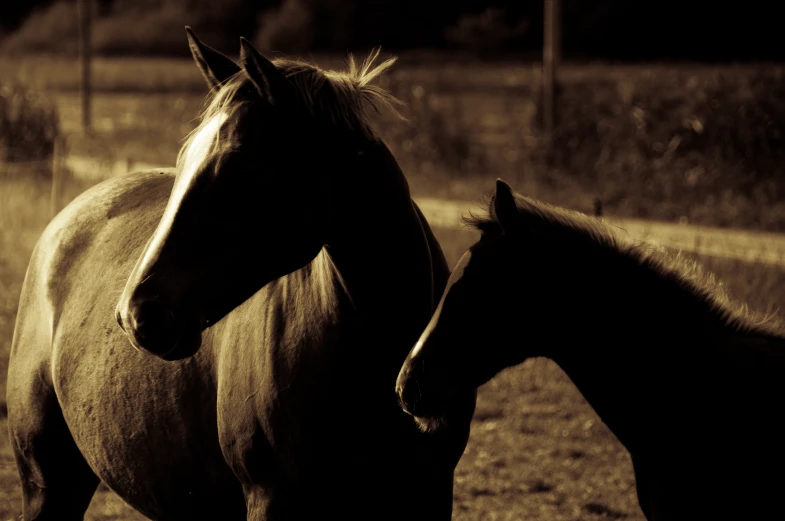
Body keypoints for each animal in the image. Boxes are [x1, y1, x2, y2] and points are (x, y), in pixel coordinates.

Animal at [6, 28, 474, 520]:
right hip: (48, 484)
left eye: (240, 167)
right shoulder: (271, 498)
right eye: (184, 160)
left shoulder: (431, 492)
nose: (136, 315)